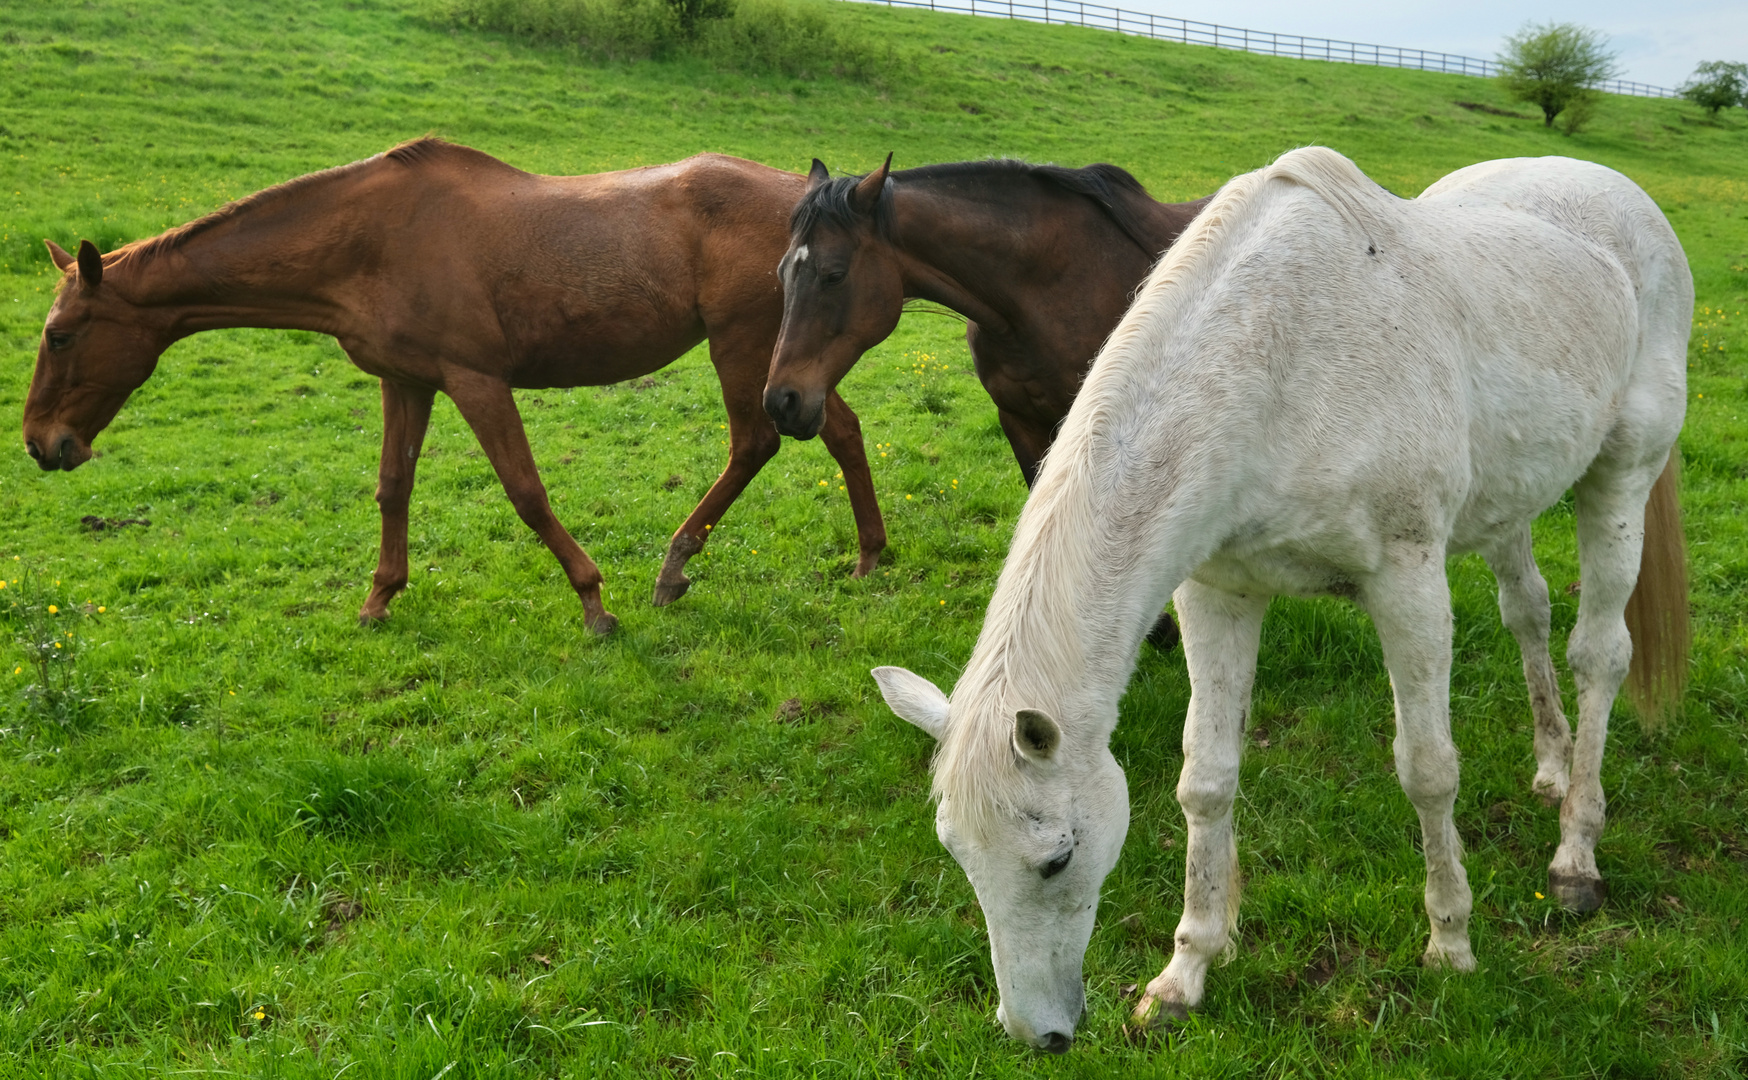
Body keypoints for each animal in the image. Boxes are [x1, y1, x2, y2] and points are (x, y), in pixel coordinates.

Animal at [18, 138, 880, 636]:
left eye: (61, 336)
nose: (39, 443)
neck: (366, 240)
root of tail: (808, 205)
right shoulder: (407, 382)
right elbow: (392, 487)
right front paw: (379, 598)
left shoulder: (476, 380)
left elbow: (525, 492)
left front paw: (593, 602)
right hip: (784, 360)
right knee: (837, 429)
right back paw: (871, 556)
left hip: (743, 347)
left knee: (756, 442)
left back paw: (673, 569)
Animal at [874, 146, 1692, 1048]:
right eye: (957, 854)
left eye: (1056, 857)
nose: (1038, 1034)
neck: (1276, 361)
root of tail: (1612, 187)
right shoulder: (1218, 592)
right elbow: (1206, 779)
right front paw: (1187, 971)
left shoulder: (1407, 582)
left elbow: (1428, 770)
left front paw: (1450, 943)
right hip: (1508, 502)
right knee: (1530, 613)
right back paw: (1550, 766)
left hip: (1621, 475)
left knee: (1599, 656)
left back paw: (1576, 852)